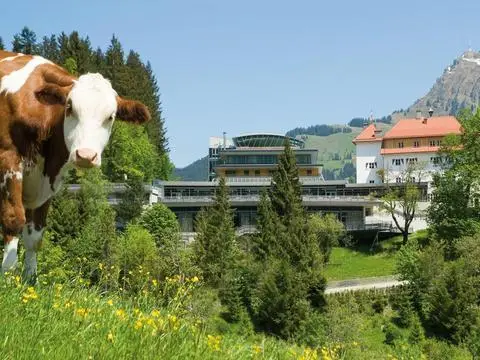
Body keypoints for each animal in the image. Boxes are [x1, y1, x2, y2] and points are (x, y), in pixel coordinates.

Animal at [0, 49, 150, 278]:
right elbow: (13, 220)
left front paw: (30, 279)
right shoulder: (8, 160)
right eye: (69, 107)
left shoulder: (47, 181)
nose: (86, 155)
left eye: (111, 116)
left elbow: (35, 236)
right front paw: (8, 278)